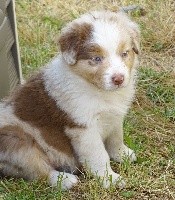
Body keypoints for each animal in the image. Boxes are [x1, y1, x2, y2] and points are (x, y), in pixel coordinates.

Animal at [0, 10, 139, 190]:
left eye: (125, 53)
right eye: (97, 59)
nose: (119, 79)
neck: (99, 91)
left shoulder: (114, 117)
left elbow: (116, 138)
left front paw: (123, 154)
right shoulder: (83, 128)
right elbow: (99, 155)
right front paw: (109, 179)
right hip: (17, 141)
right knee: (38, 171)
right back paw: (65, 180)